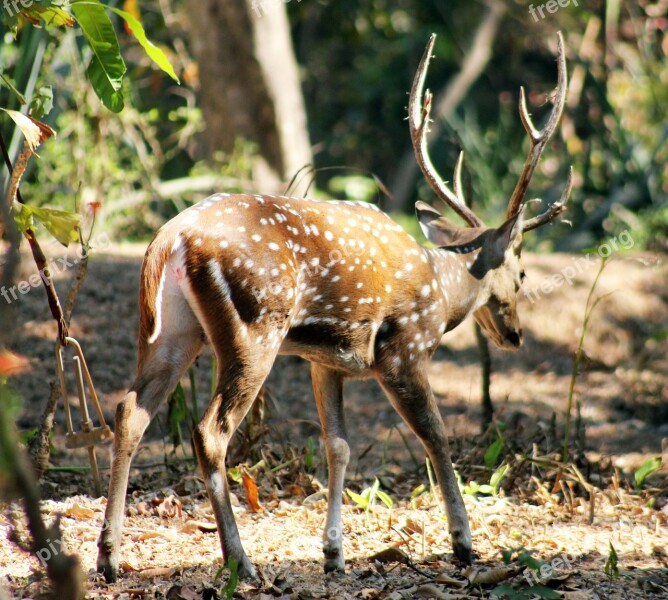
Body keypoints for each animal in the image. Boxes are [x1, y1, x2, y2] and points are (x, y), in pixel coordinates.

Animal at [96, 32, 572, 580]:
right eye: (522, 272)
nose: (515, 334)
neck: (441, 287)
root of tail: (170, 236)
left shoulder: (327, 360)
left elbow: (337, 446)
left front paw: (334, 553)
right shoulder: (403, 350)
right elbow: (435, 435)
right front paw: (463, 543)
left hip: (170, 328)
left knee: (130, 409)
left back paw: (109, 556)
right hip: (255, 325)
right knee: (210, 430)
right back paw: (241, 561)